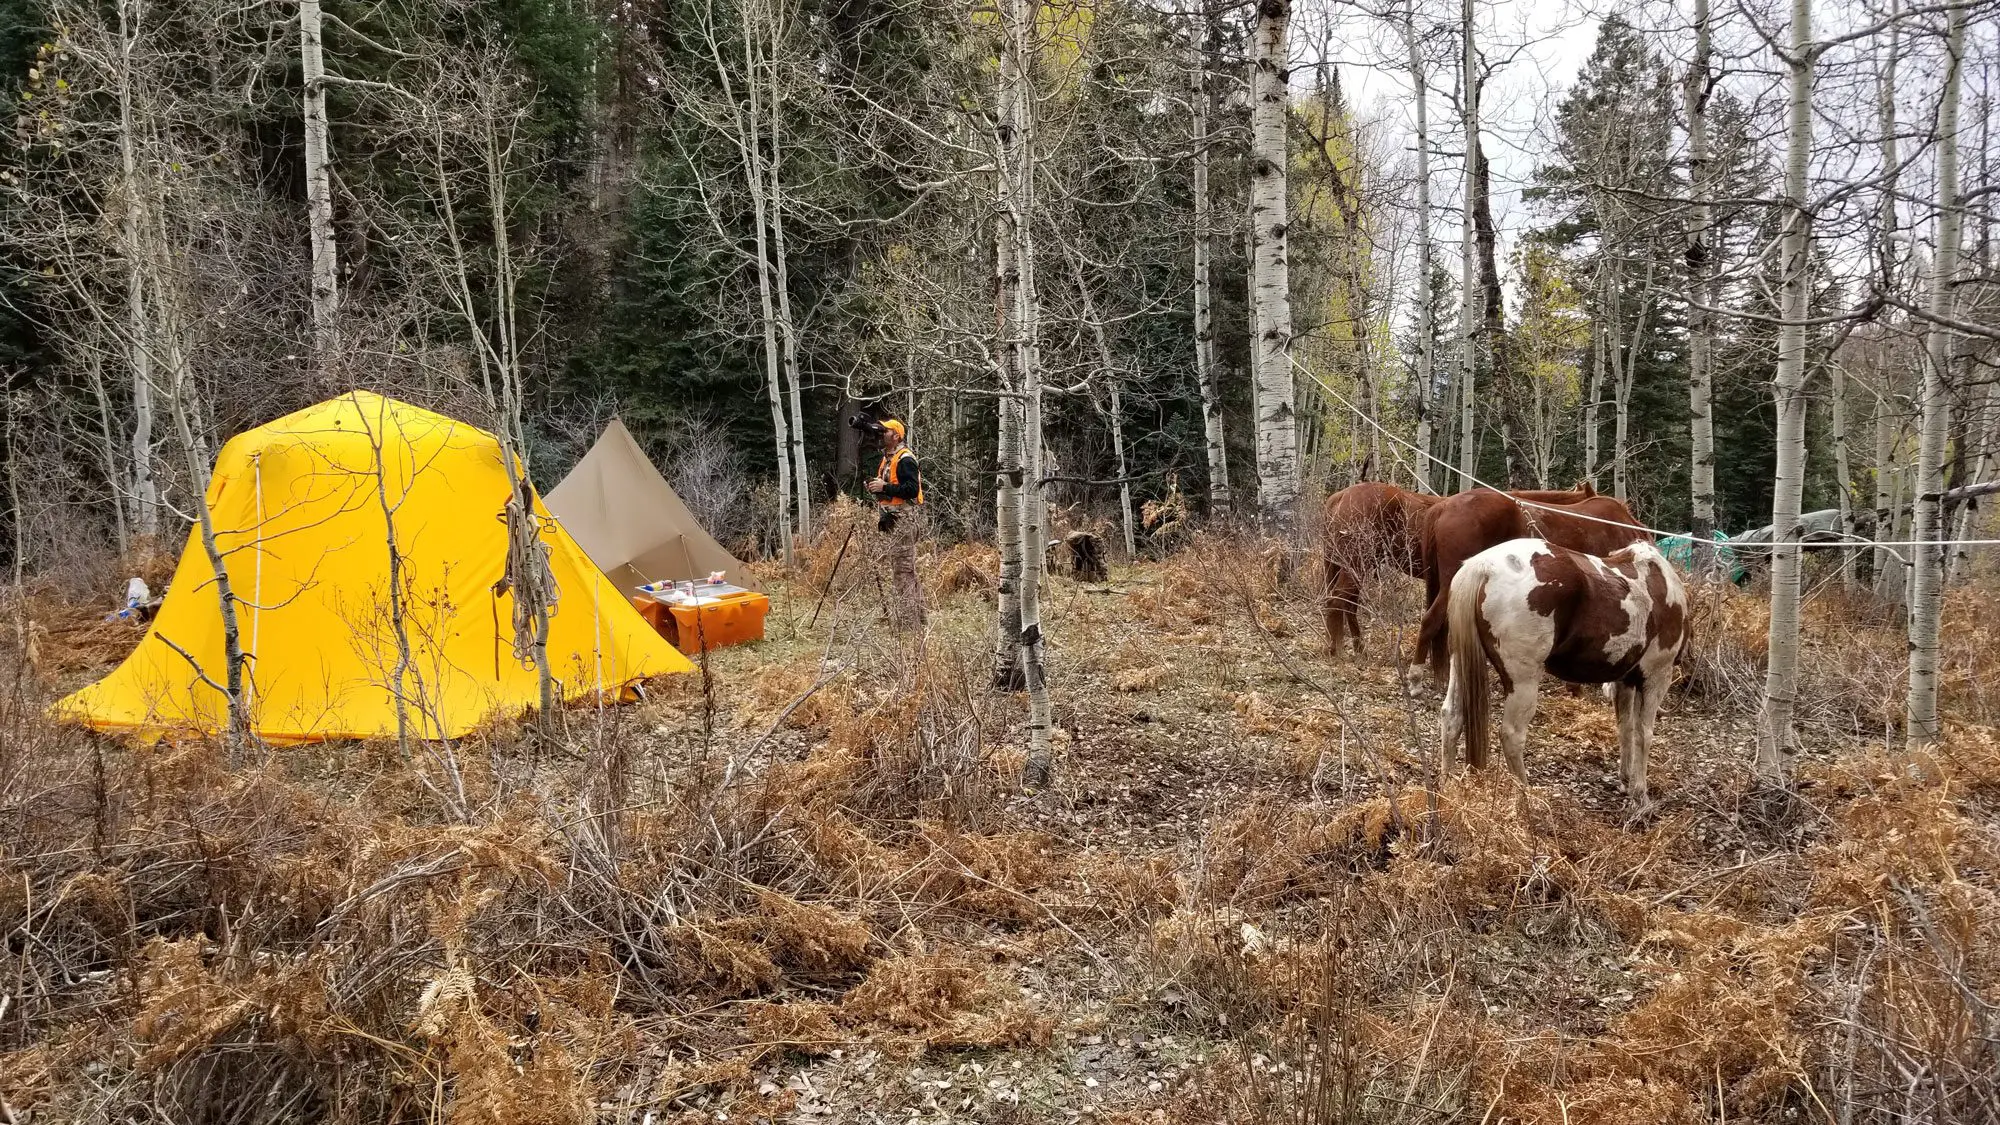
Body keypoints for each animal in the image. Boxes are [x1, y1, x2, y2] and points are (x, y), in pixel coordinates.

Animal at [1320, 482, 1600, 656]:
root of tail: (1340, 497)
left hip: (1341, 564)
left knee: (1345, 603)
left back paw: (1353, 646)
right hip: (1356, 563)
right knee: (1339, 600)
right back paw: (1340, 650)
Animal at [1440, 536, 1688, 804]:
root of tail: (1483, 567)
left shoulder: (1626, 680)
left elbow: (1626, 727)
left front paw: (1626, 779)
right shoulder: (1656, 677)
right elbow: (1644, 733)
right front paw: (1640, 795)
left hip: (1459, 664)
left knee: (1452, 717)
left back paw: (1445, 787)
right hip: (1523, 682)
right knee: (1512, 735)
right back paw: (1526, 798)